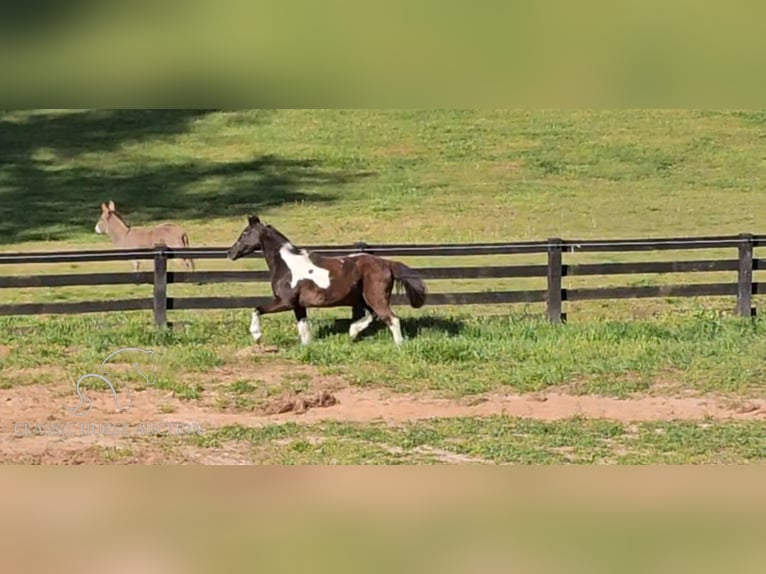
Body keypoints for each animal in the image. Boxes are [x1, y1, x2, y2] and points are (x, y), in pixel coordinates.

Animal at [225, 216, 428, 346]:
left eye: (244, 233)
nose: (230, 253)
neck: (287, 266)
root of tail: (386, 263)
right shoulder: (298, 305)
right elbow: (303, 328)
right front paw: (306, 348)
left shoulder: (284, 302)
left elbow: (257, 309)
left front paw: (257, 335)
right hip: (364, 298)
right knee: (373, 315)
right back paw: (353, 332)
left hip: (375, 297)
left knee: (392, 319)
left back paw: (399, 345)